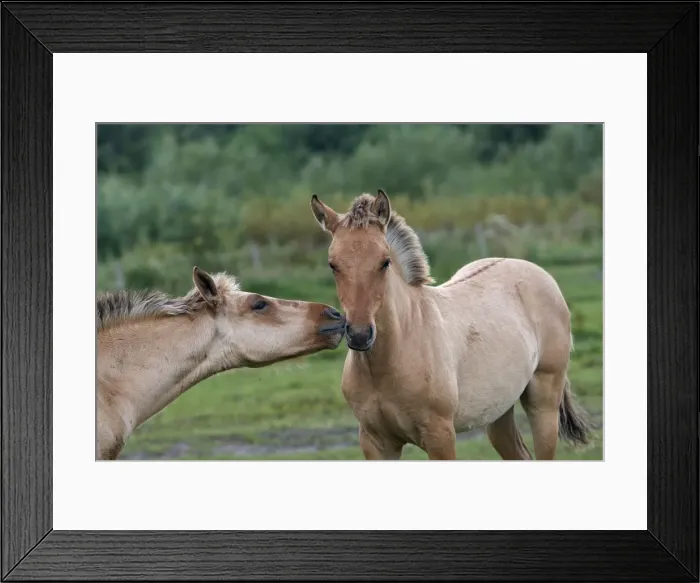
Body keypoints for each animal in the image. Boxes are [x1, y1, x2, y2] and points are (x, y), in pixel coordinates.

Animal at [310, 189, 590, 460]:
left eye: (385, 262)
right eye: (333, 265)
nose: (359, 335)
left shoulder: (440, 437)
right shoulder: (376, 443)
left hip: (544, 403)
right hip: (498, 411)